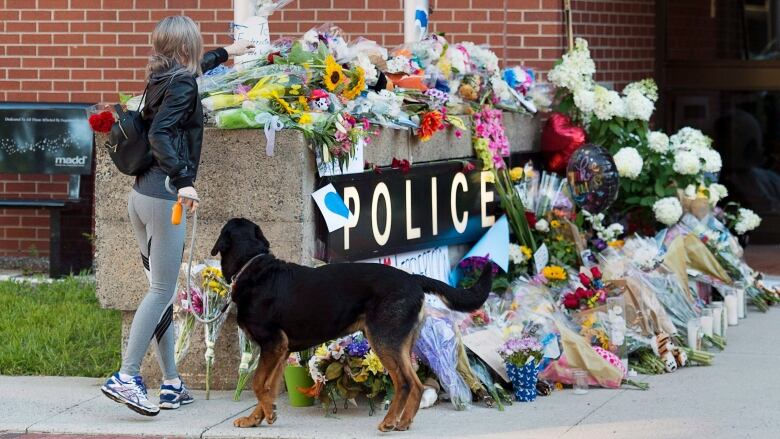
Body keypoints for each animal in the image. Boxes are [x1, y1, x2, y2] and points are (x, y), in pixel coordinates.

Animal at [212, 218, 494, 432]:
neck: (252, 266)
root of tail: (414, 279)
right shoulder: (281, 351)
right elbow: (268, 387)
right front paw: (257, 418)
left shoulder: (272, 344)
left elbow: (258, 383)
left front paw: (267, 415)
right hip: (401, 343)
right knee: (415, 383)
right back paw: (403, 422)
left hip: (383, 340)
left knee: (405, 382)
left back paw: (389, 422)